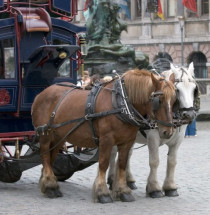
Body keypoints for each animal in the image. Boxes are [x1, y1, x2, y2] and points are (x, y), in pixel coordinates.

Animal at [30, 69, 176, 203]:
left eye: (174, 100)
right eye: (159, 100)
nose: (168, 132)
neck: (121, 104)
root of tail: (41, 93)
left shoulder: (127, 141)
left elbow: (122, 164)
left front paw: (123, 191)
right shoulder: (106, 140)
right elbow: (104, 163)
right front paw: (102, 193)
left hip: (59, 137)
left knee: (51, 158)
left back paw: (48, 183)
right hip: (45, 135)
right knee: (45, 155)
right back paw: (50, 187)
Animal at [108, 62, 199, 198]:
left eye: (194, 89)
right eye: (177, 90)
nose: (189, 115)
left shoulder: (178, 140)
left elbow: (172, 161)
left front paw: (170, 187)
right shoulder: (153, 138)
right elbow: (154, 161)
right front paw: (154, 188)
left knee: (127, 154)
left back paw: (129, 180)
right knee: (113, 153)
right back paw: (112, 179)